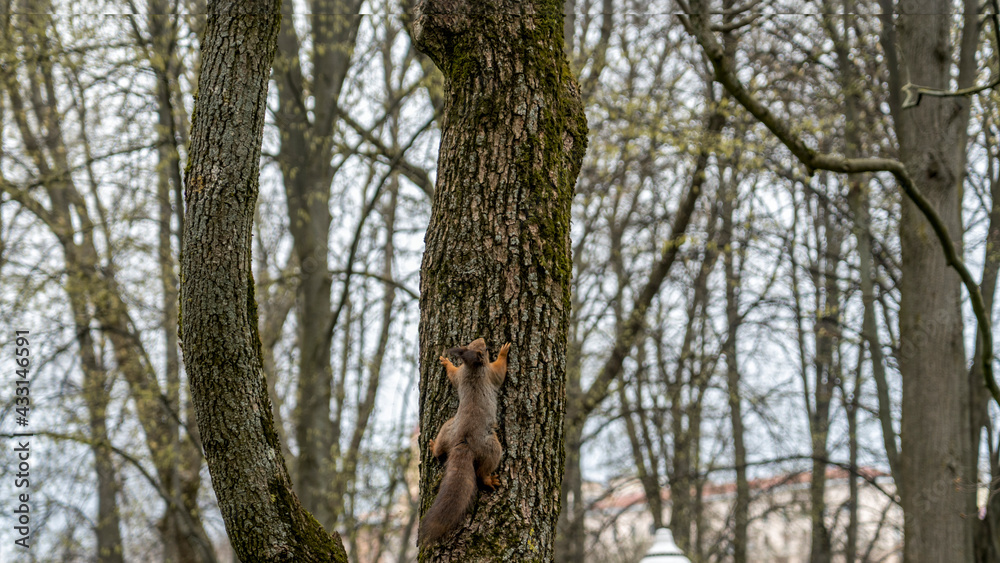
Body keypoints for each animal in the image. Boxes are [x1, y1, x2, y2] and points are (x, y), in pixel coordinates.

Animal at [418, 337, 511, 547]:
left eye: (471, 343)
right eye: (485, 348)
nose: (483, 339)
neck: (472, 367)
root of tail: (463, 442)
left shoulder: (460, 375)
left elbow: (453, 374)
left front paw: (446, 362)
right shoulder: (491, 374)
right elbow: (501, 372)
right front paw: (504, 351)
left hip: (447, 427)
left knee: (440, 450)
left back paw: (433, 446)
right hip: (492, 447)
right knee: (482, 471)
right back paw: (489, 480)